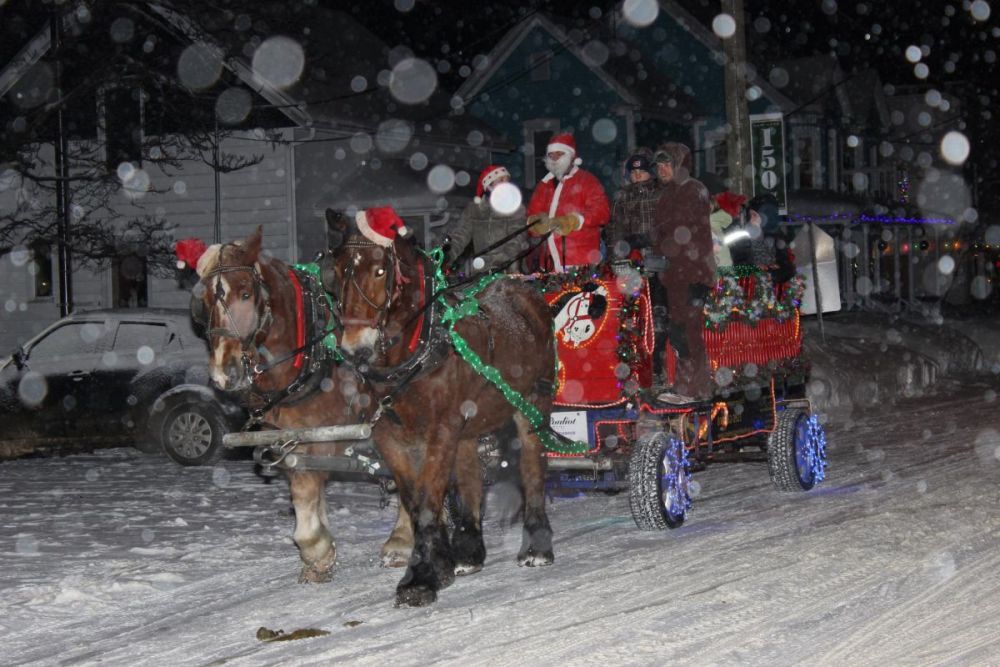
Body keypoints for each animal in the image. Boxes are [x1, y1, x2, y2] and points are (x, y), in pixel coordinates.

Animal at [193, 228, 416, 584]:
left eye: (245, 293)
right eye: (201, 304)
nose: (224, 374)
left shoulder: (319, 438)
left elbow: (305, 491)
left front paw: (316, 550)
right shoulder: (289, 438)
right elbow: (310, 495)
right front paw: (318, 557)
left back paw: (401, 541)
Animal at [324, 210, 556, 612]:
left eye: (380, 271)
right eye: (336, 272)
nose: (355, 349)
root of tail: (523, 290)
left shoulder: (440, 430)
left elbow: (430, 497)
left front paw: (421, 576)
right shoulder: (389, 436)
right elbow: (416, 501)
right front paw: (440, 564)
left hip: (532, 403)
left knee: (531, 467)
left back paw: (537, 546)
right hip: (470, 422)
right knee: (470, 476)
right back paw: (469, 552)